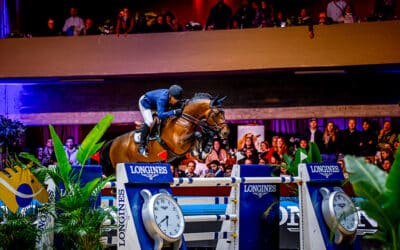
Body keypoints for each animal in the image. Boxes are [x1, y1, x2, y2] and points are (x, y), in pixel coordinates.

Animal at [101, 93, 230, 175]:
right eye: (216, 113)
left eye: (223, 112)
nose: (226, 133)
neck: (184, 120)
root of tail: (114, 141)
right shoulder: (178, 145)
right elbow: (198, 134)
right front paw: (201, 150)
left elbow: (205, 134)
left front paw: (205, 150)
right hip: (119, 166)